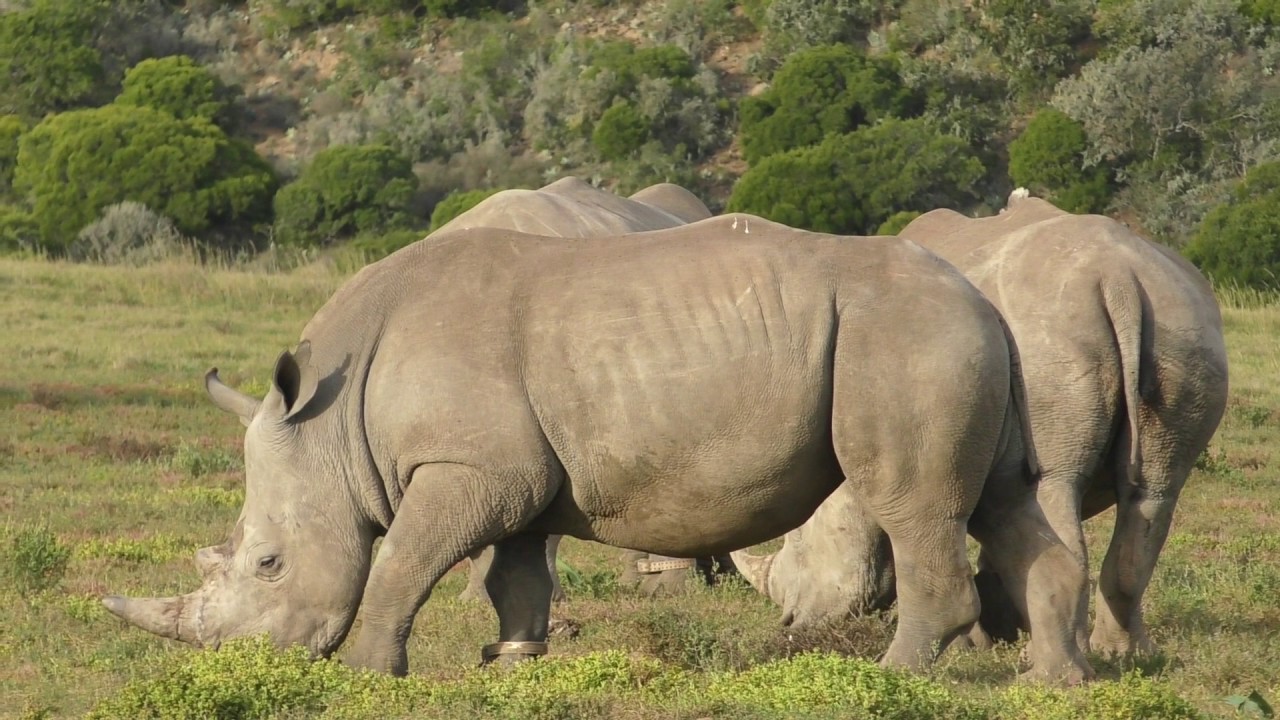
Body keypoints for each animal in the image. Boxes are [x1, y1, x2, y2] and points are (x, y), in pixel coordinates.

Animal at [732, 191, 1229, 667]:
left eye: (800, 542)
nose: (791, 622)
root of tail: (1117, 276)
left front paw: (970, 645)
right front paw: (999, 624)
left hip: (1048, 340)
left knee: (1057, 485)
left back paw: (1058, 655)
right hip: (1182, 324)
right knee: (1155, 494)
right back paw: (1125, 654)